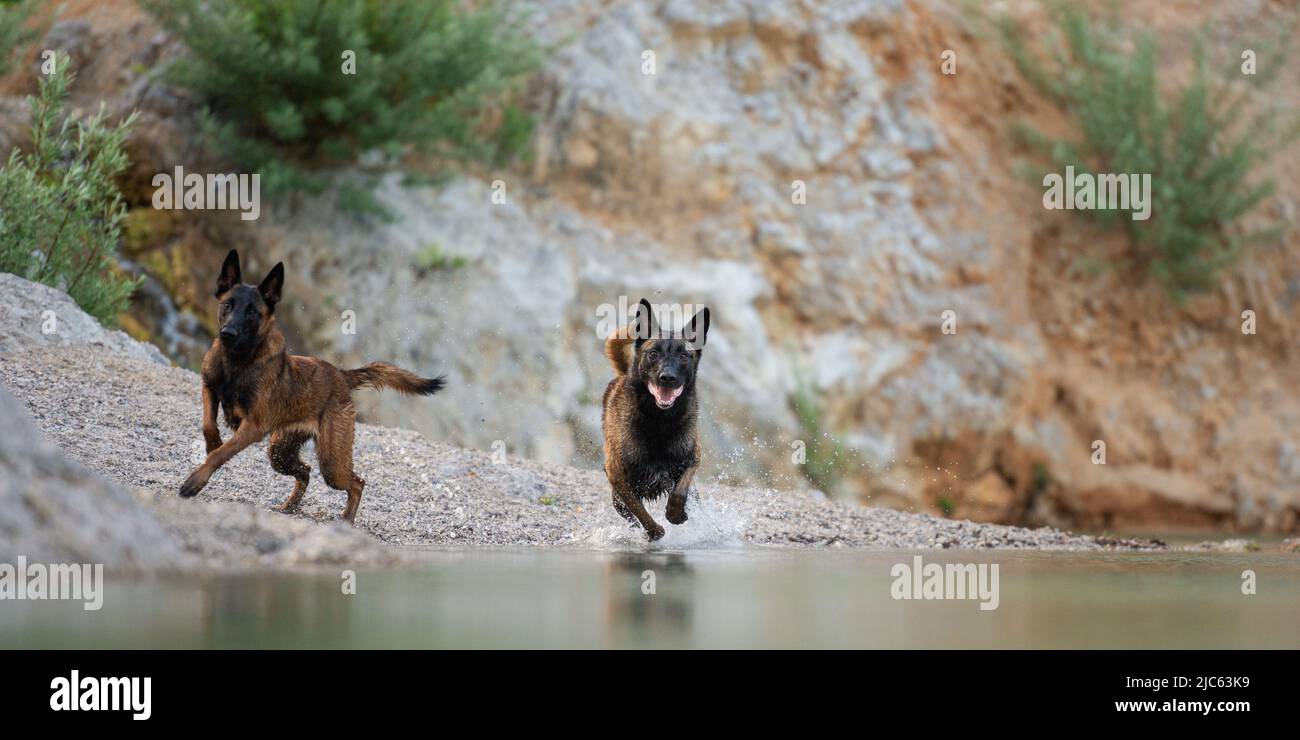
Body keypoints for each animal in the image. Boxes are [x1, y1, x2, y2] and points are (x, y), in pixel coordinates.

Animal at [178, 251, 444, 522]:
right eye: (227, 305)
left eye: (252, 312)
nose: (227, 333)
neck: (237, 360)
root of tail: (340, 375)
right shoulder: (209, 388)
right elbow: (208, 425)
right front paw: (212, 443)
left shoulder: (253, 426)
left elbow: (221, 454)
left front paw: (196, 480)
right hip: (280, 451)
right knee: (305, 471)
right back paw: (290, 507)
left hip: (331, 461)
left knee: (356, 483)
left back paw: (346, 520)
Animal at [600, 297, 712, 538]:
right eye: (653, 353)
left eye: (683, 355)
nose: (667, 378)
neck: (660, 421)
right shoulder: (617, 474)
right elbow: (637, 506)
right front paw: (654, 531)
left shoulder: (693, 458)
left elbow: (680, 489)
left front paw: (675, 514)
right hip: (616, 499)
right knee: (629, 513)